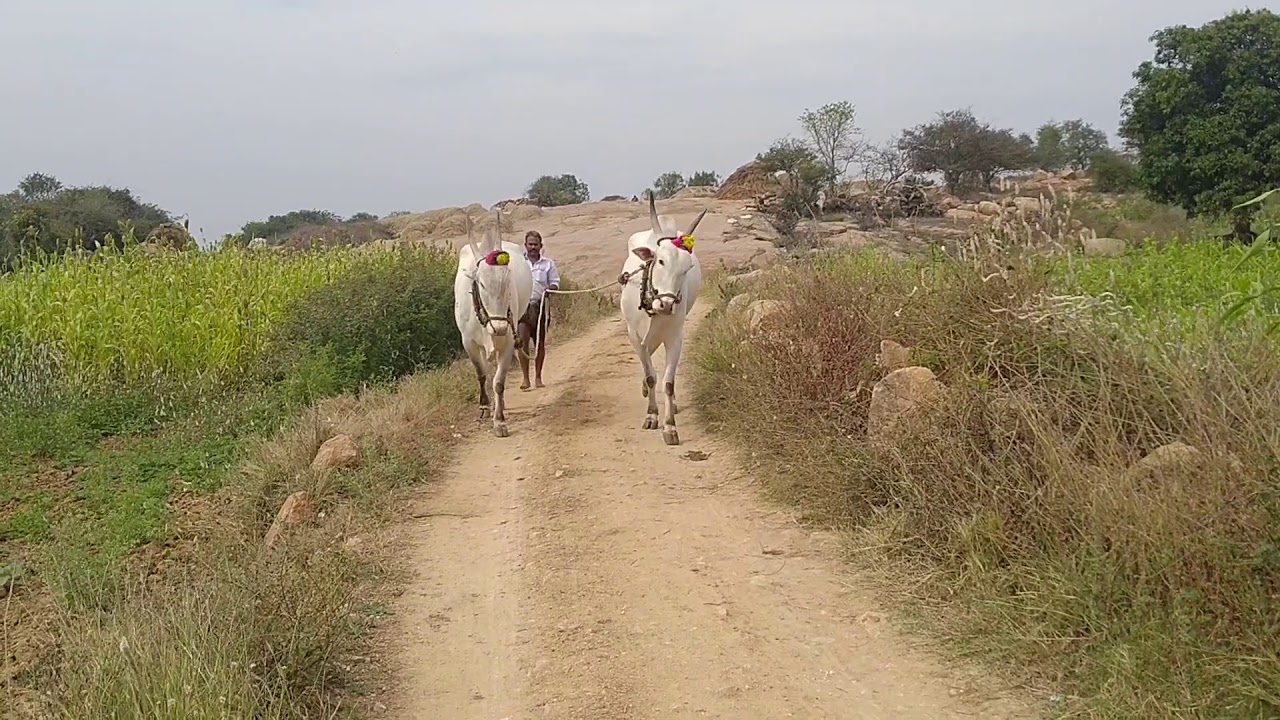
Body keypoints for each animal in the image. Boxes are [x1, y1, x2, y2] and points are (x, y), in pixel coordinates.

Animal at [453, 212, 533, 437]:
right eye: (480, 283)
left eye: (508, 283)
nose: (499, 328)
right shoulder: (469, 343)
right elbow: (482, 374)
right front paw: (484, 407)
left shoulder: (508, 342)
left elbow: (498, 382)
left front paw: (499, 421)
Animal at [618, 193, 707, 445]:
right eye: (660, 261)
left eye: (687, 267)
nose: (666, 304)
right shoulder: (635, 337)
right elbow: (650, 377)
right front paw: (652, 416)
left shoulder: (675, 337)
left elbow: (668, 382)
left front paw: (670, 427)